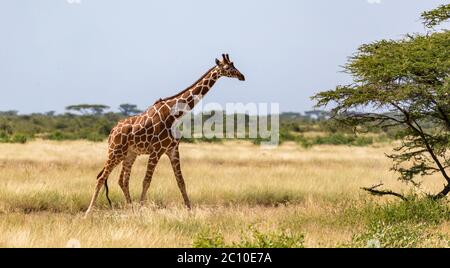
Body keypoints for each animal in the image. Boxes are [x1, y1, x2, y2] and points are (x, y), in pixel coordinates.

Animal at [85, 54, 246, 216]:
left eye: (234, 64)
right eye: (228, 67)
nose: (242, 76)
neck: (175, 114)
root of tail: (112, 131)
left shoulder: (173, 149)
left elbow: (181, 181)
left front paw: (190, 211)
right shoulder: (156, 150)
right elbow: (146, 181)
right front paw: (142, 210)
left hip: (130, 154)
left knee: (122, 180)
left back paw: (131, 209)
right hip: (115, 151)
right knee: (101, 178)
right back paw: (88, 212)